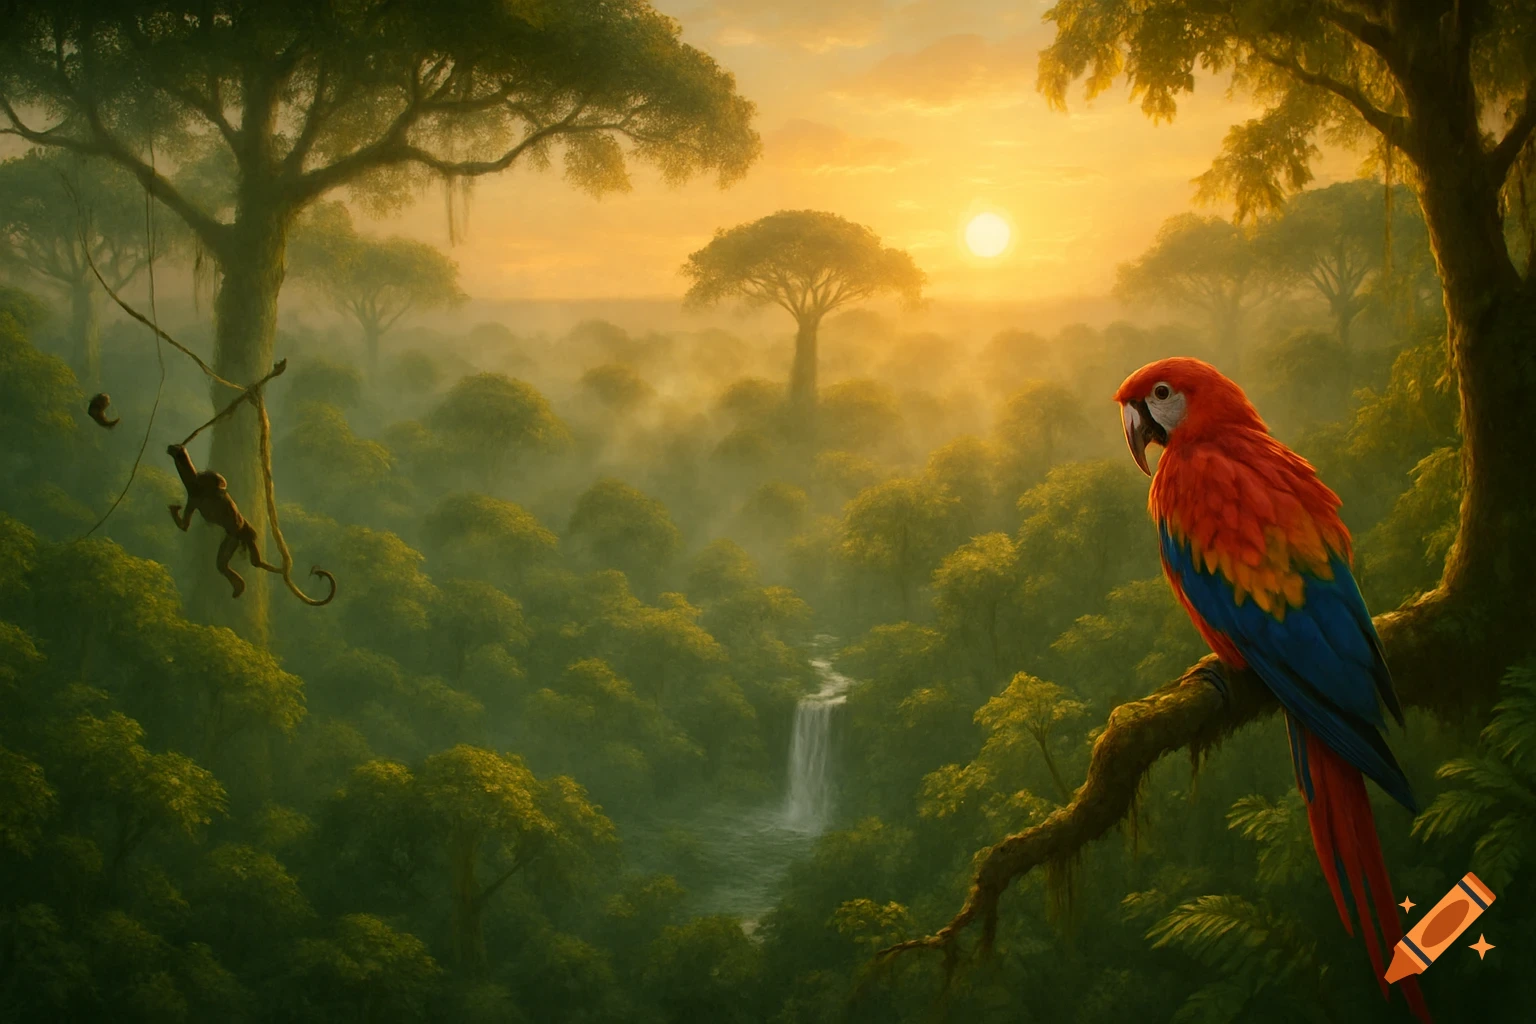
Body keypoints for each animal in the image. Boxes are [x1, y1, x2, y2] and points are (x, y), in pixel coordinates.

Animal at [166, 443, 282, 598]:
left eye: (176, 448)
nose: (170, 447)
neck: (196, 486)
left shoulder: (203, 485)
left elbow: (219, 480)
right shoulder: (193, 499)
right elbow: (185, 525)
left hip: (237, 533)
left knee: (243, 547)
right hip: (232, 538)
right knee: (223, 563)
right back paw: (239, 587)